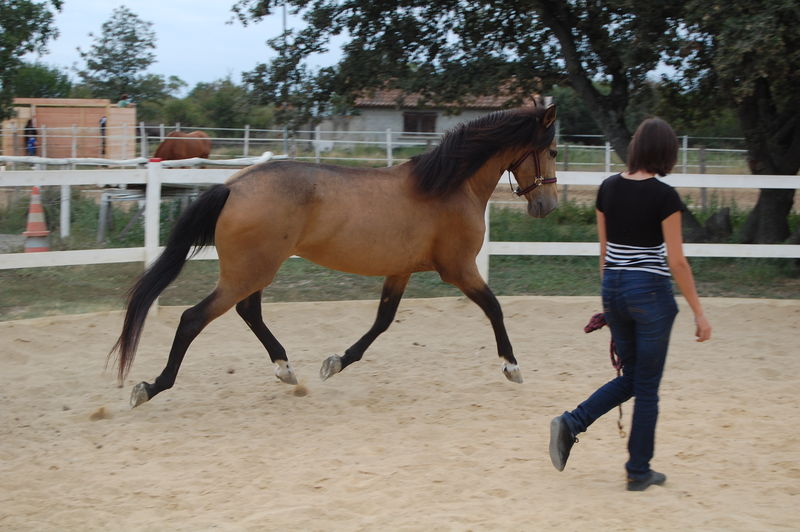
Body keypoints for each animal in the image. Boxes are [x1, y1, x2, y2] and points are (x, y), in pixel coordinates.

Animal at [112, 106, 560, 410]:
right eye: (553, 150)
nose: (547, 206)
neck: (449, 187)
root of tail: (234, 187)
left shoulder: (400, 272)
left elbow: (381, 322)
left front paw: (335, 362)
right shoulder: (459, 269)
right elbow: (495, 307)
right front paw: (512, 367)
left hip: (255, 271)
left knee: (248, 312)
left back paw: (285, 368)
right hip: (248, 272)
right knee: (194, 319)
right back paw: (150, 387)